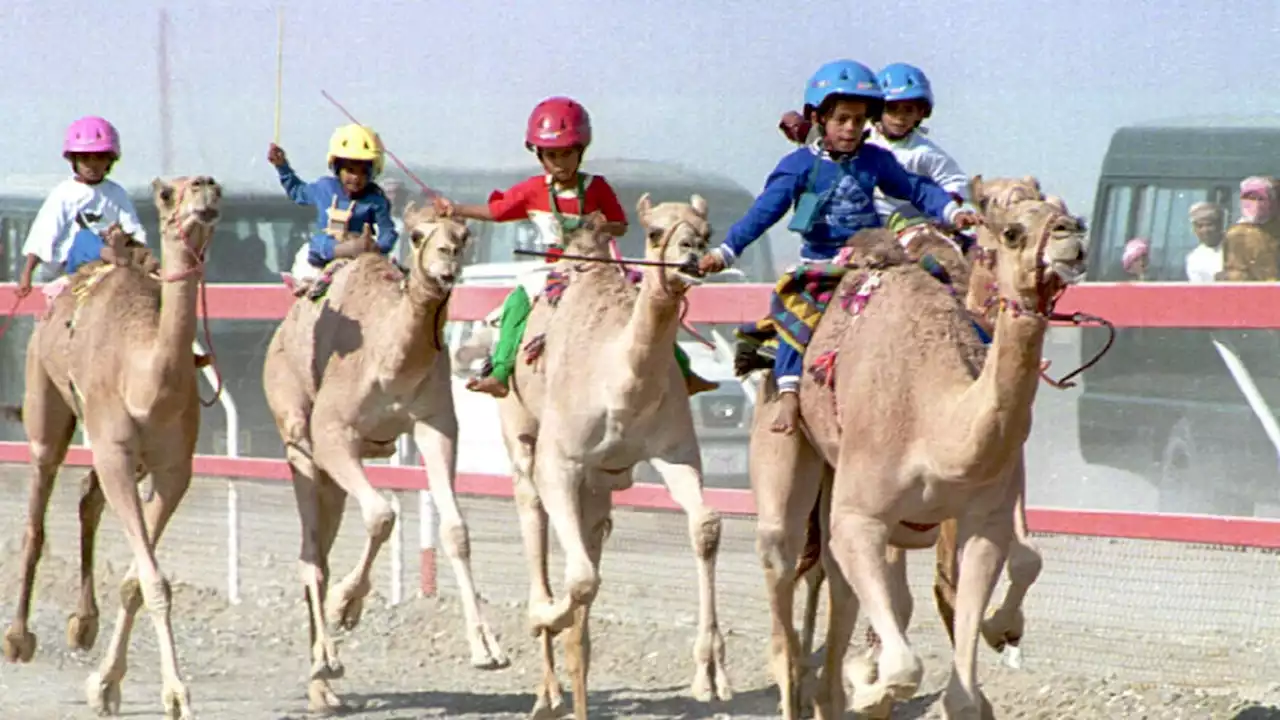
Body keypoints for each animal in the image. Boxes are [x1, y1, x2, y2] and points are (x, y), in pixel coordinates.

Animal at [1, 175, 222, 717]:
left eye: (216, 189)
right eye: (167, 194)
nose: (205, 188)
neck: (145, 382)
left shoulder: (172, 470)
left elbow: (138, 580)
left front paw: (106, 683)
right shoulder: (117, 454)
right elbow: (153, 580)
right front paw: (177, 694)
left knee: (87, 499)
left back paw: (83, 625)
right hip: (46, 407)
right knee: (37, 515)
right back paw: (18, 638)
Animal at [261, 198, 509, 707]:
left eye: (464, 235)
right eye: (418, 235)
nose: (448, 261)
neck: (391, 357)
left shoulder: (436, 426)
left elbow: (456, 529)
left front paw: (487, 648)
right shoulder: (333, 432)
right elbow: (381, 515)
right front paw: (346, 606)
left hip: (328, 476)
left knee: (319, 549)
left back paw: (323, 687)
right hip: (297, 437)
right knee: (311, 554)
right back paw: (326, 664)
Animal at [499, 193, 737, 712]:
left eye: (707, 233)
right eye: (655, 232)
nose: (692, 254)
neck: (620, 384)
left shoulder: (675, 452)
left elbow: (706, 526)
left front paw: (710, 672)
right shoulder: (560, 461)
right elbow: (581, 578)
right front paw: (544, 614)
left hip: (599, 483)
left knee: (592, 532)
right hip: (518, 424)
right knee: (530, 506)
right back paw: (547, 683)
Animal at [747, 188, 1085, 712]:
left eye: (1067, 215)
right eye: (1012, 232)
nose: (1072, 239)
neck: (936, 425)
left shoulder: (984, 525)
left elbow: (961, 693)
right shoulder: (863, 518)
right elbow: (905, 665)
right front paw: (869, 689)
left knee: (838, 586)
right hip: (781, 444)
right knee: (783, 575)